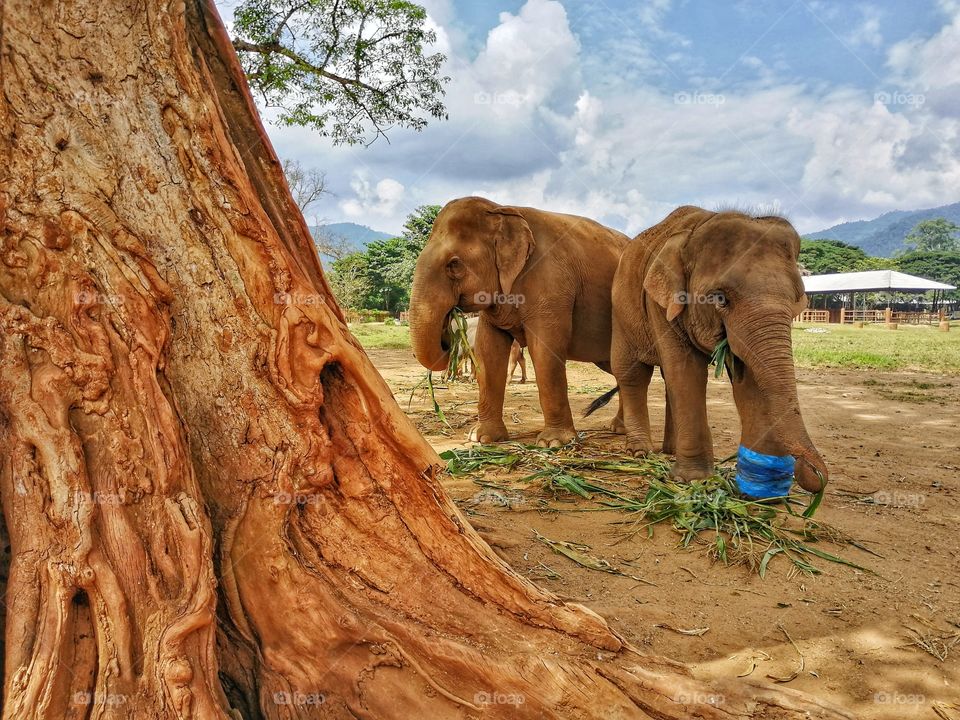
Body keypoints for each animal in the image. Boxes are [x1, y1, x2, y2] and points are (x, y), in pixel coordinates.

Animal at [409, 196, 630, 447]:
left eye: (454, 264)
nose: (448, 335)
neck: (501, 209)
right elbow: (488, 351)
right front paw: (480, 437)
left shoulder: (551, 283)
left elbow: (545, 350)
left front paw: (554, 443)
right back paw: (619, 429)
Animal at [606, 205, 827, 494]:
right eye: (720, 299)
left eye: (795, 301)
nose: (812, 471)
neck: (700, 224)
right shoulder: (660, 305)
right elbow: (687, 372)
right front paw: (695, 480)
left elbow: (750, 380)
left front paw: (759, 488)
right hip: (621, 313)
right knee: (632, 374)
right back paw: (640, 452)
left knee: (666, 381)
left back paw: (670, 450)